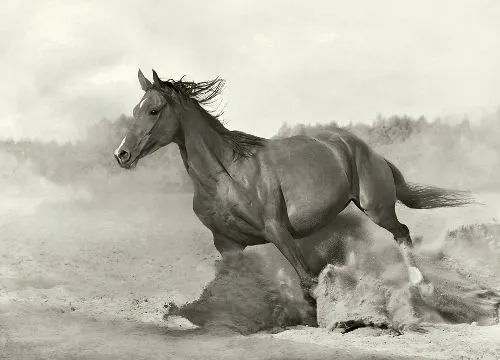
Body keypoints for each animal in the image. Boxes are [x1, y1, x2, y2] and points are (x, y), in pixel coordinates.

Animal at [114, 67, 476, 316]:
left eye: (154, 110)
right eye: (134, 110)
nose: (121, 154)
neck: (227, 176)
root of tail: (367, 149)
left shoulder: (277, 230)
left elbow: (308, 280)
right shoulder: (227, 244)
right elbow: (237, 282)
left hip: (376, 207)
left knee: (402, 232)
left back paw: (421, 287)